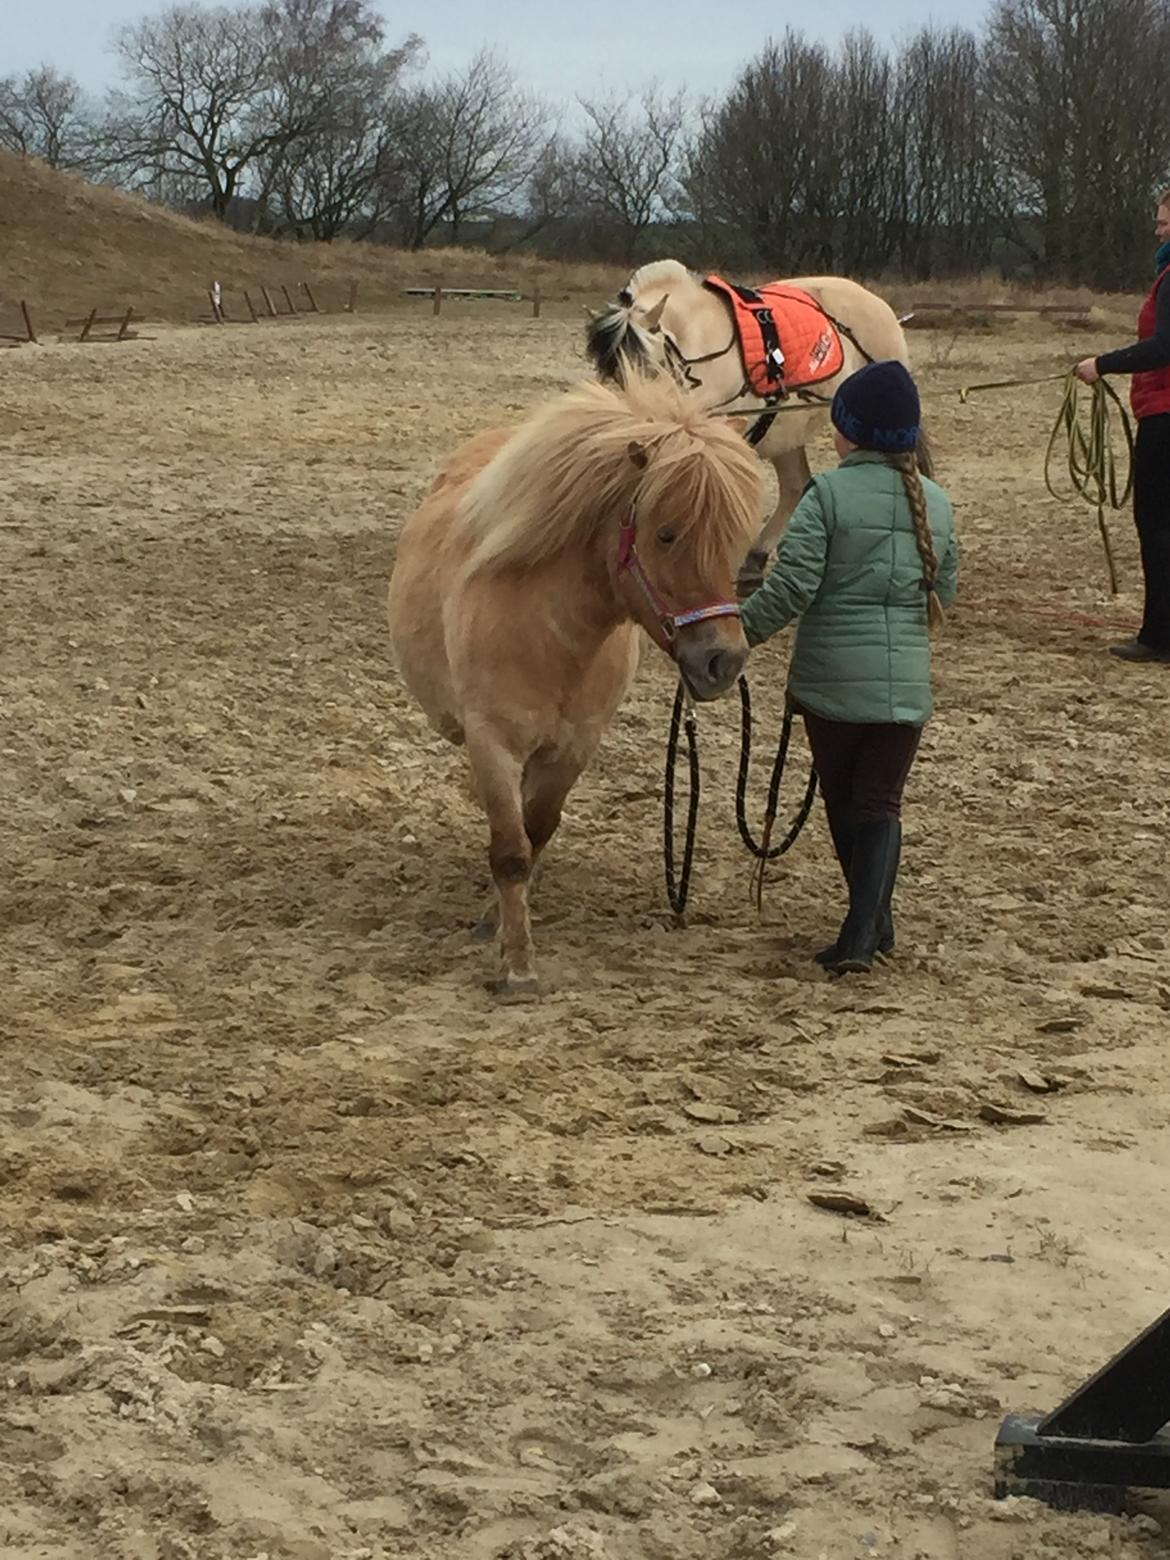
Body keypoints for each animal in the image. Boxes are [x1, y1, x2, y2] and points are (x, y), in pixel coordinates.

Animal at [390, 374, 764, 998]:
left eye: (736, 539)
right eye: (667, 534)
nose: (723, 660)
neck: (553, 637)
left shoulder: (575, 748)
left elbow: (535, 831)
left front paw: (502, 926)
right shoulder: (492, 741)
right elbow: (510, 850)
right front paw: (518, 967)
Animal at [586, 258, 935, 586]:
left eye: (651, 367)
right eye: (615, 373)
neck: (703, 346)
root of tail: (882, 308)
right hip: (784, 430)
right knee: (796, 485)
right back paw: (756, 559)